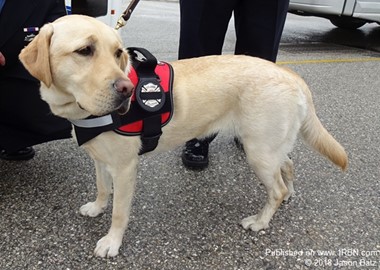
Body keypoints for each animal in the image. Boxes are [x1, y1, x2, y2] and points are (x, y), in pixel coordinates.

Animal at [20, 14, 348, 258]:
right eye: (84, 50)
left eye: (118, 53)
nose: (127, 89)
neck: (81, 110)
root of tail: (290, 74)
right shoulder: (100, 159)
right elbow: (102, 189)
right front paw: (97, 207)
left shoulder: (125, 168)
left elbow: (119, 212)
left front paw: (112, 242)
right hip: (269, 146)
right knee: (288, 166)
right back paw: (288, 194)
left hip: (258, 151)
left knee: (276, 188)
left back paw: (260, 220)